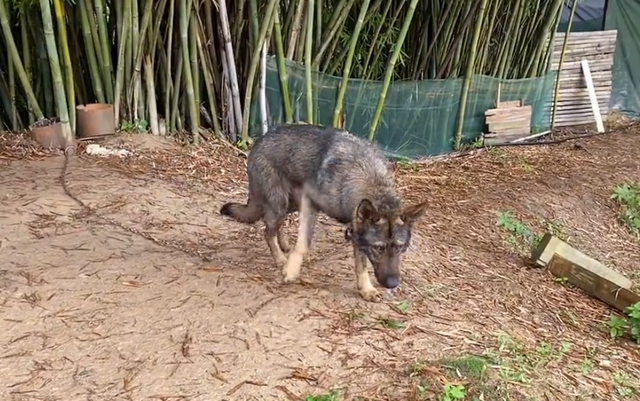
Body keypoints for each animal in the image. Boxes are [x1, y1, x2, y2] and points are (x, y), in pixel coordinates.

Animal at [220, 123, 424, 302]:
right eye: (378, 248)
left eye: (399, 247)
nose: (392, 284)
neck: (367, 178)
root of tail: (259, 140)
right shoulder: (311, 203)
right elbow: (303, 244)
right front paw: (291, 270)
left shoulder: (356, 230)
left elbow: (361, 266)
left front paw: (366, 289)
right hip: (280, 204)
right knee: (267, 231)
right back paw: (280, 258)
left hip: (290, 205)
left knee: (274, 226)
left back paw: (284, 245)